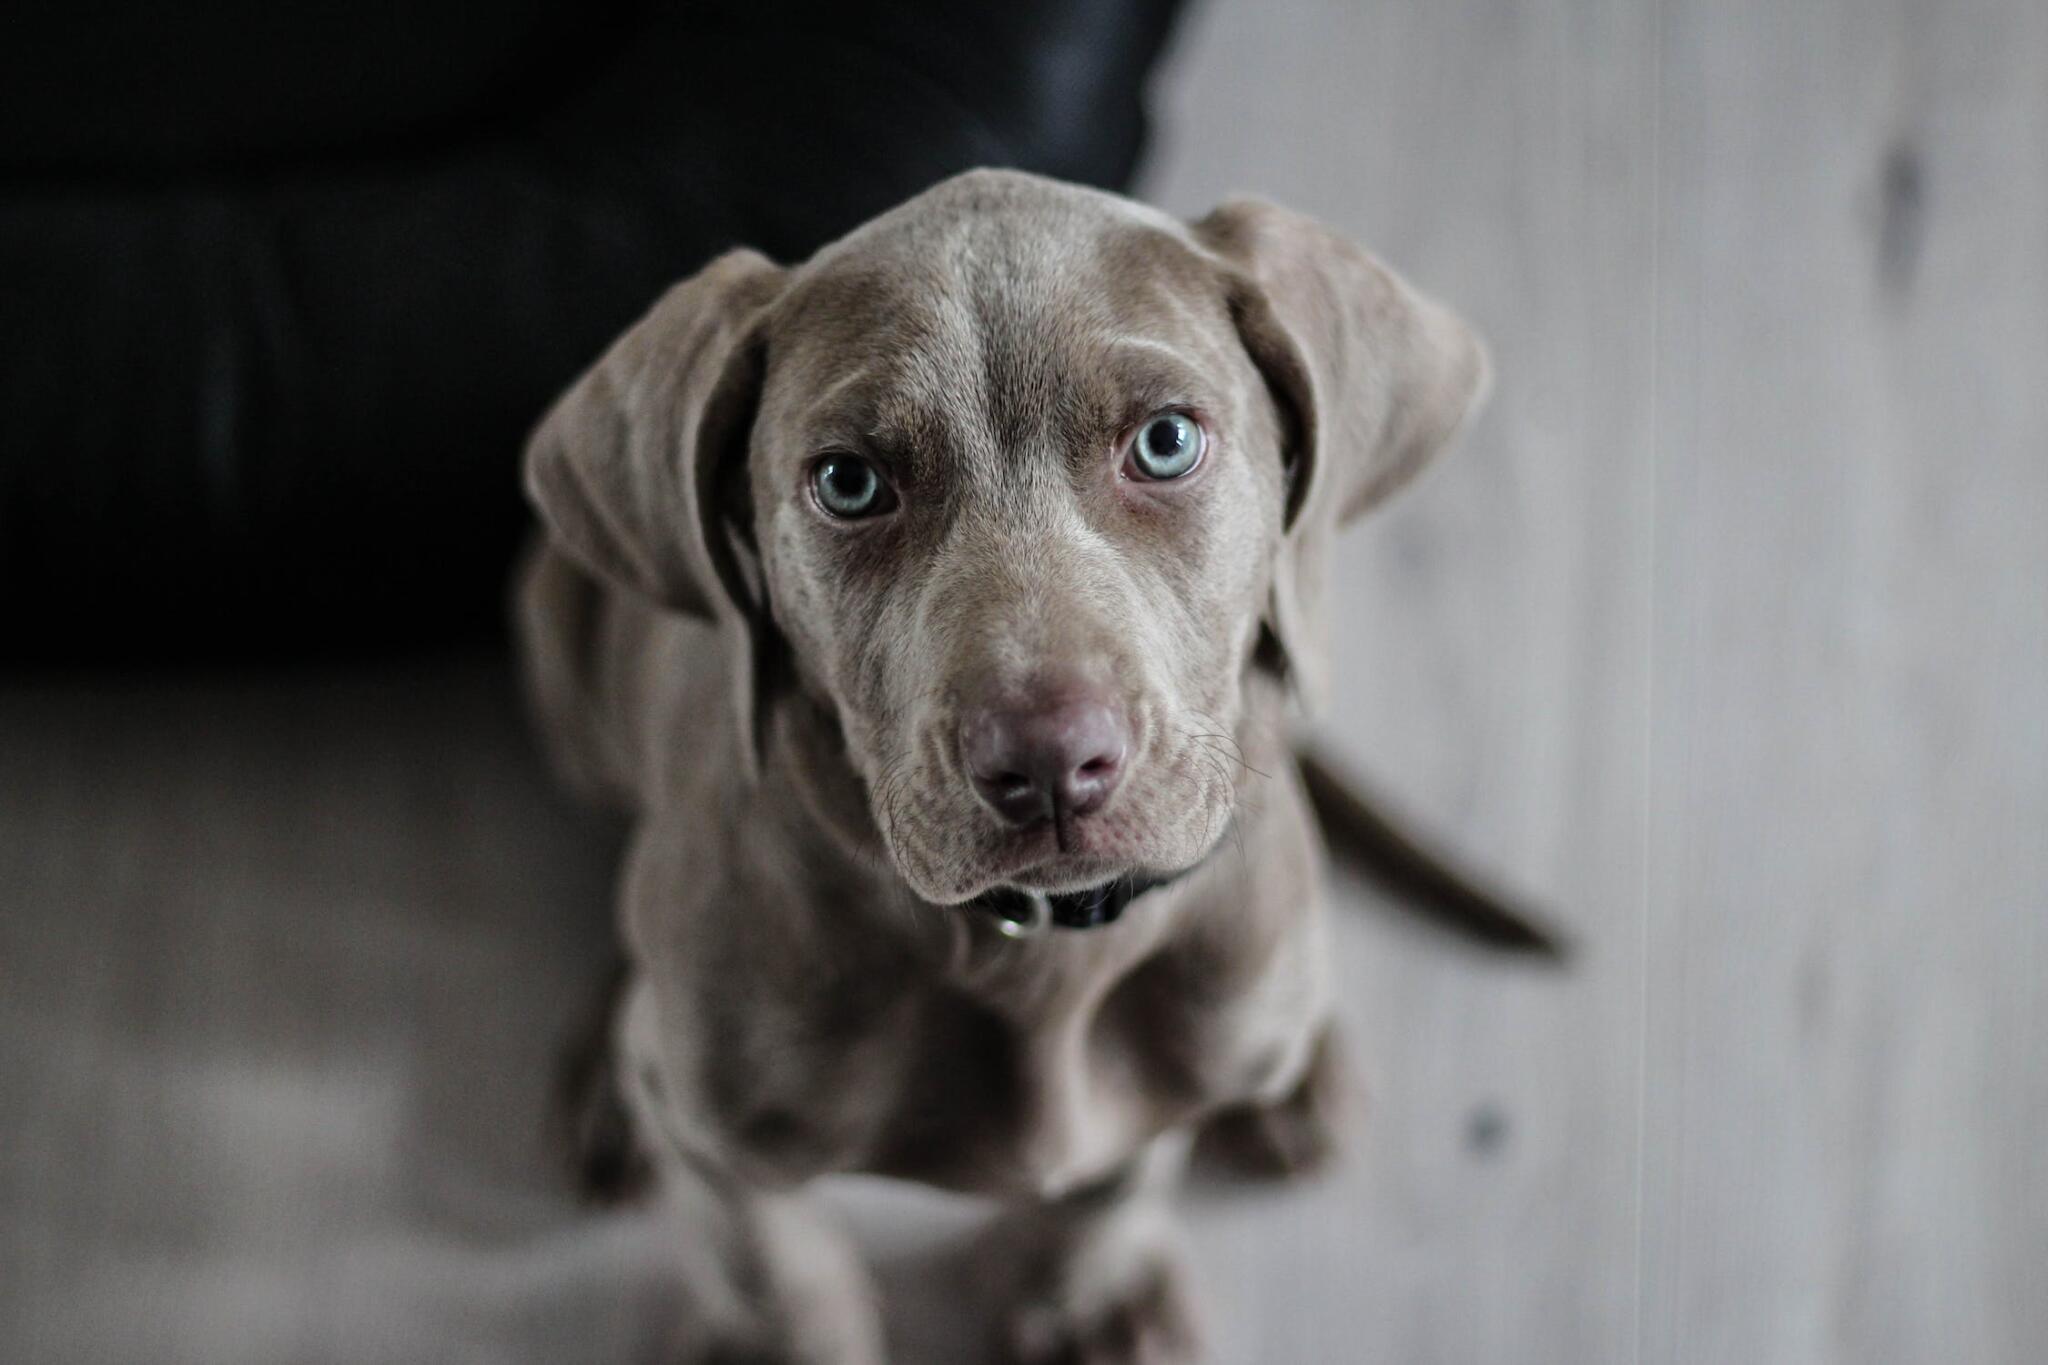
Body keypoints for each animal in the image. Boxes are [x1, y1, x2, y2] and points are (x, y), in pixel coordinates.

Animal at [516, 170, 1523, 1365]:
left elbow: (1117, 1175)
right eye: (847, 482)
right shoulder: (718, 1135)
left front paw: (1089, 1296)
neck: (1035, 953)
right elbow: (765, 1255)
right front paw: (781, 1337)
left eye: (1166, 442)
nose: (1047, 763)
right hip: (555, 635)